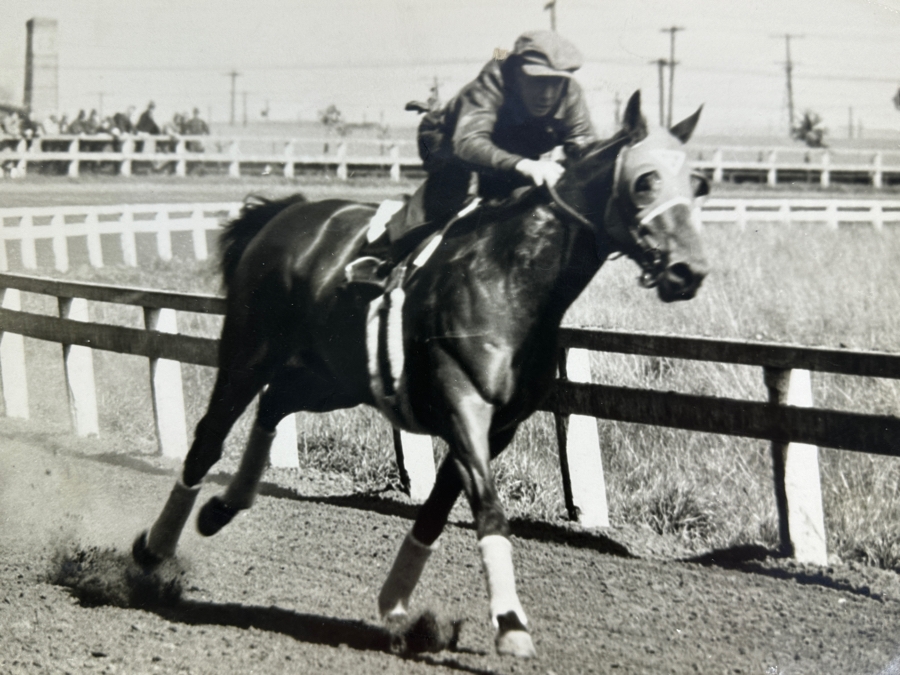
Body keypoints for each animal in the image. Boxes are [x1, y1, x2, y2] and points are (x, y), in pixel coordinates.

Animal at [132, 90, 709, 658]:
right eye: (645, 180)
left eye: (697, 184)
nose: (690, 271)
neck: (511, 281)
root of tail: (286, 212)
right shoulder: (462, 404)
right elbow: (489, 510)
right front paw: (511, 624)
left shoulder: (500, 427)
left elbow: (435, 514)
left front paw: (397, 606)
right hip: (249, 353)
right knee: (210, 436)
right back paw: (154, 549)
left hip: (334, 378)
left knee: (276, 402)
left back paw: (224, 507)